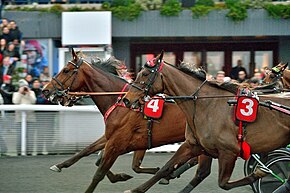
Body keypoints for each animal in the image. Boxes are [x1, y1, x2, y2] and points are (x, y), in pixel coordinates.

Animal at [42, 48, 213, 193]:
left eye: (66, 70)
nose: (45, 90)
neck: (121, 101)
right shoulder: (117, 137)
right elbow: (90, 151)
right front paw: (59, 165)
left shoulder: (119, 141)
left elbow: (100, 171)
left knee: (201, 171)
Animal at [123, 51, 290, 193]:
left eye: (145, 74)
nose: (126, 99)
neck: (205, 104)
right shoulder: (194, 145)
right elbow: (167, 168)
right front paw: (136, 189)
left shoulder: (229, 151)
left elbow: (223, 183)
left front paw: (259, 174)